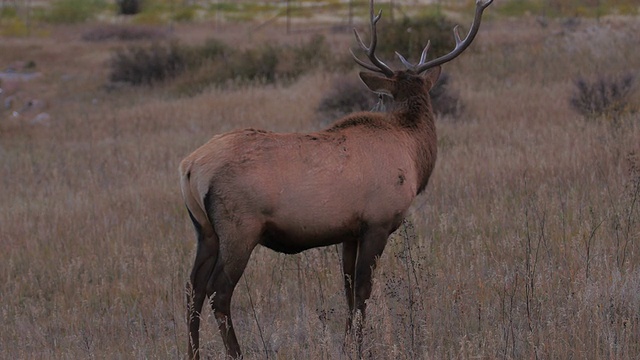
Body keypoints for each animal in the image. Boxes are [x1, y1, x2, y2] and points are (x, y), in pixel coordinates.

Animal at [180, 0, 496, 358]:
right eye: (385, 97)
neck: (414, 156)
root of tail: (190, 167)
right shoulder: (377, 222)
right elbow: (362, 289)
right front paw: (360, 345)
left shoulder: (350, 231)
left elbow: (346, 288)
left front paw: (347, 342)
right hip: (240, 228)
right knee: (219, 291)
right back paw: (237, 352)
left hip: (205, 230)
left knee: (193, 288)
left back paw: (192, 352)